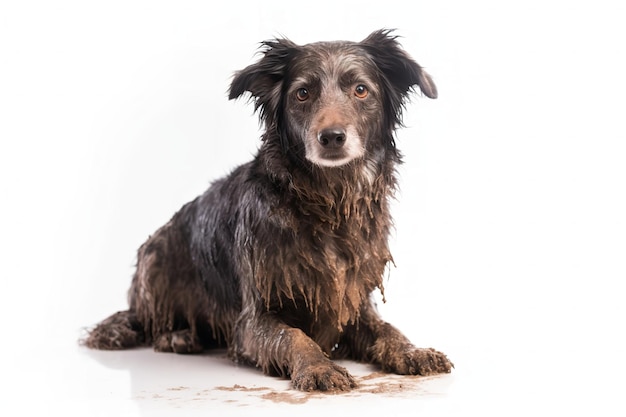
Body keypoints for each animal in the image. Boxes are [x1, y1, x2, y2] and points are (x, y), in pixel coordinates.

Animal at [84, 29, 454, 390]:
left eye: (361, 90)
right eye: (302, 93)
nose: (332, 137)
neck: (329, 204)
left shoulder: (355, 303)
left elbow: (388, 329)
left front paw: (413, 351)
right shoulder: (252, 320)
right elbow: (293, 336)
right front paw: (319, 367)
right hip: (154, 258)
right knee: (153, 323)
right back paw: (178, 336)